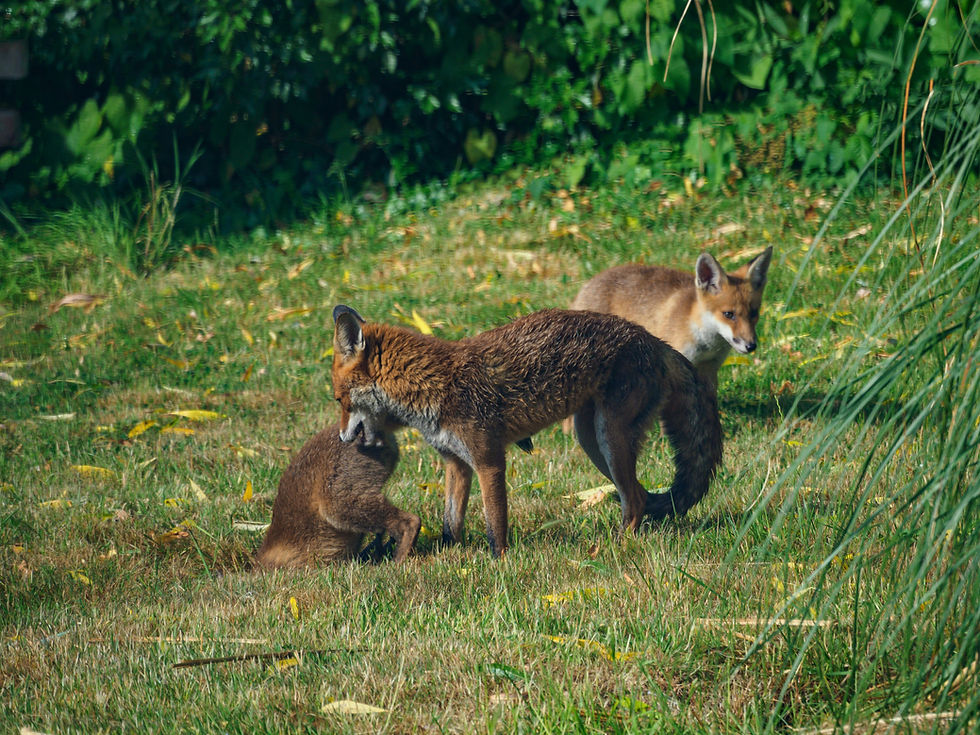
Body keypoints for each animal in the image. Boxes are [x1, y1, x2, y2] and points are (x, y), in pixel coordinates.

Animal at [331, 304, 722, 558]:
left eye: (339, 400)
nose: (342, 438)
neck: (435, 386)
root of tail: (654, 341)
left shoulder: (489, 460)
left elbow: (495, 523)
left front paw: (499, 562)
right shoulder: (456, 464)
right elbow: (450, 522)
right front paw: (446, 554)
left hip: (609, 438)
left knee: (637, 500)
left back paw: (615, 545)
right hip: (592, 441)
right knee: (639, 495)